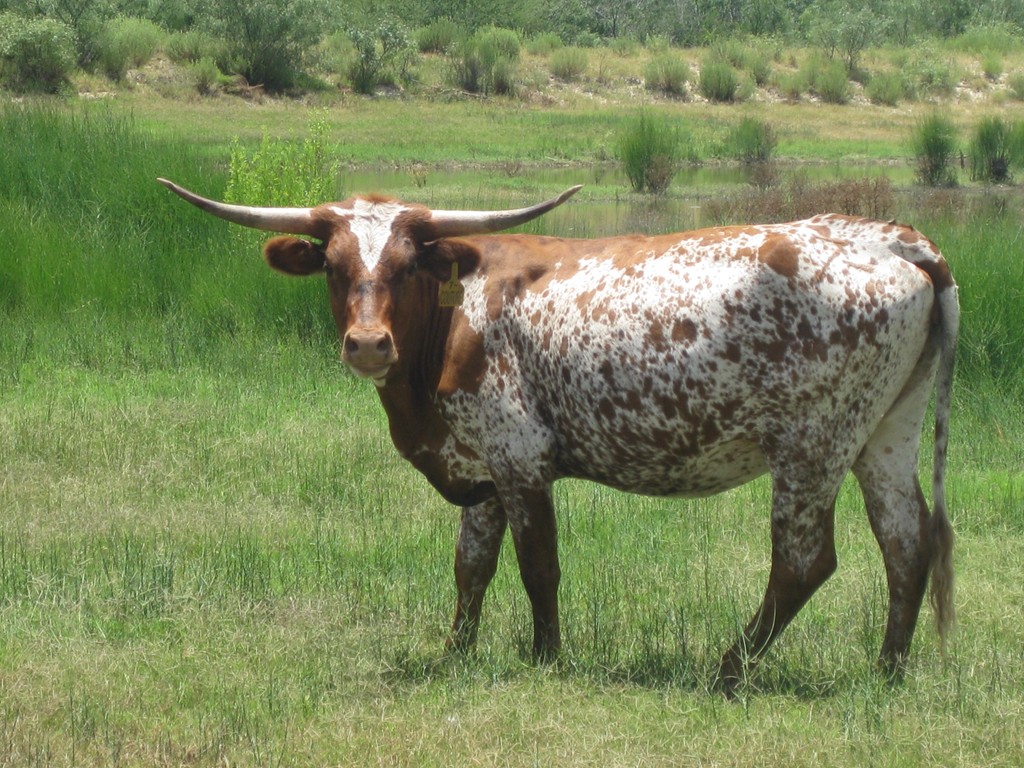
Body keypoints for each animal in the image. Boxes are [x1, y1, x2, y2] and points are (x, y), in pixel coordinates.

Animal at [158, 177, 958, 693]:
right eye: (331, 264)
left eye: (409, 264)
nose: (367, 344)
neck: (453, 317)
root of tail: (897, 241)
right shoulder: (479, 465)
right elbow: (471, 567)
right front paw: (457, 653)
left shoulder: (520, 458)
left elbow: (537, 565)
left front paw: (547, 658)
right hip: (887, 433)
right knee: (905, 542)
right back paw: (888, 672)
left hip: (813, 444)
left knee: (804, 560)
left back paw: (728, 670)